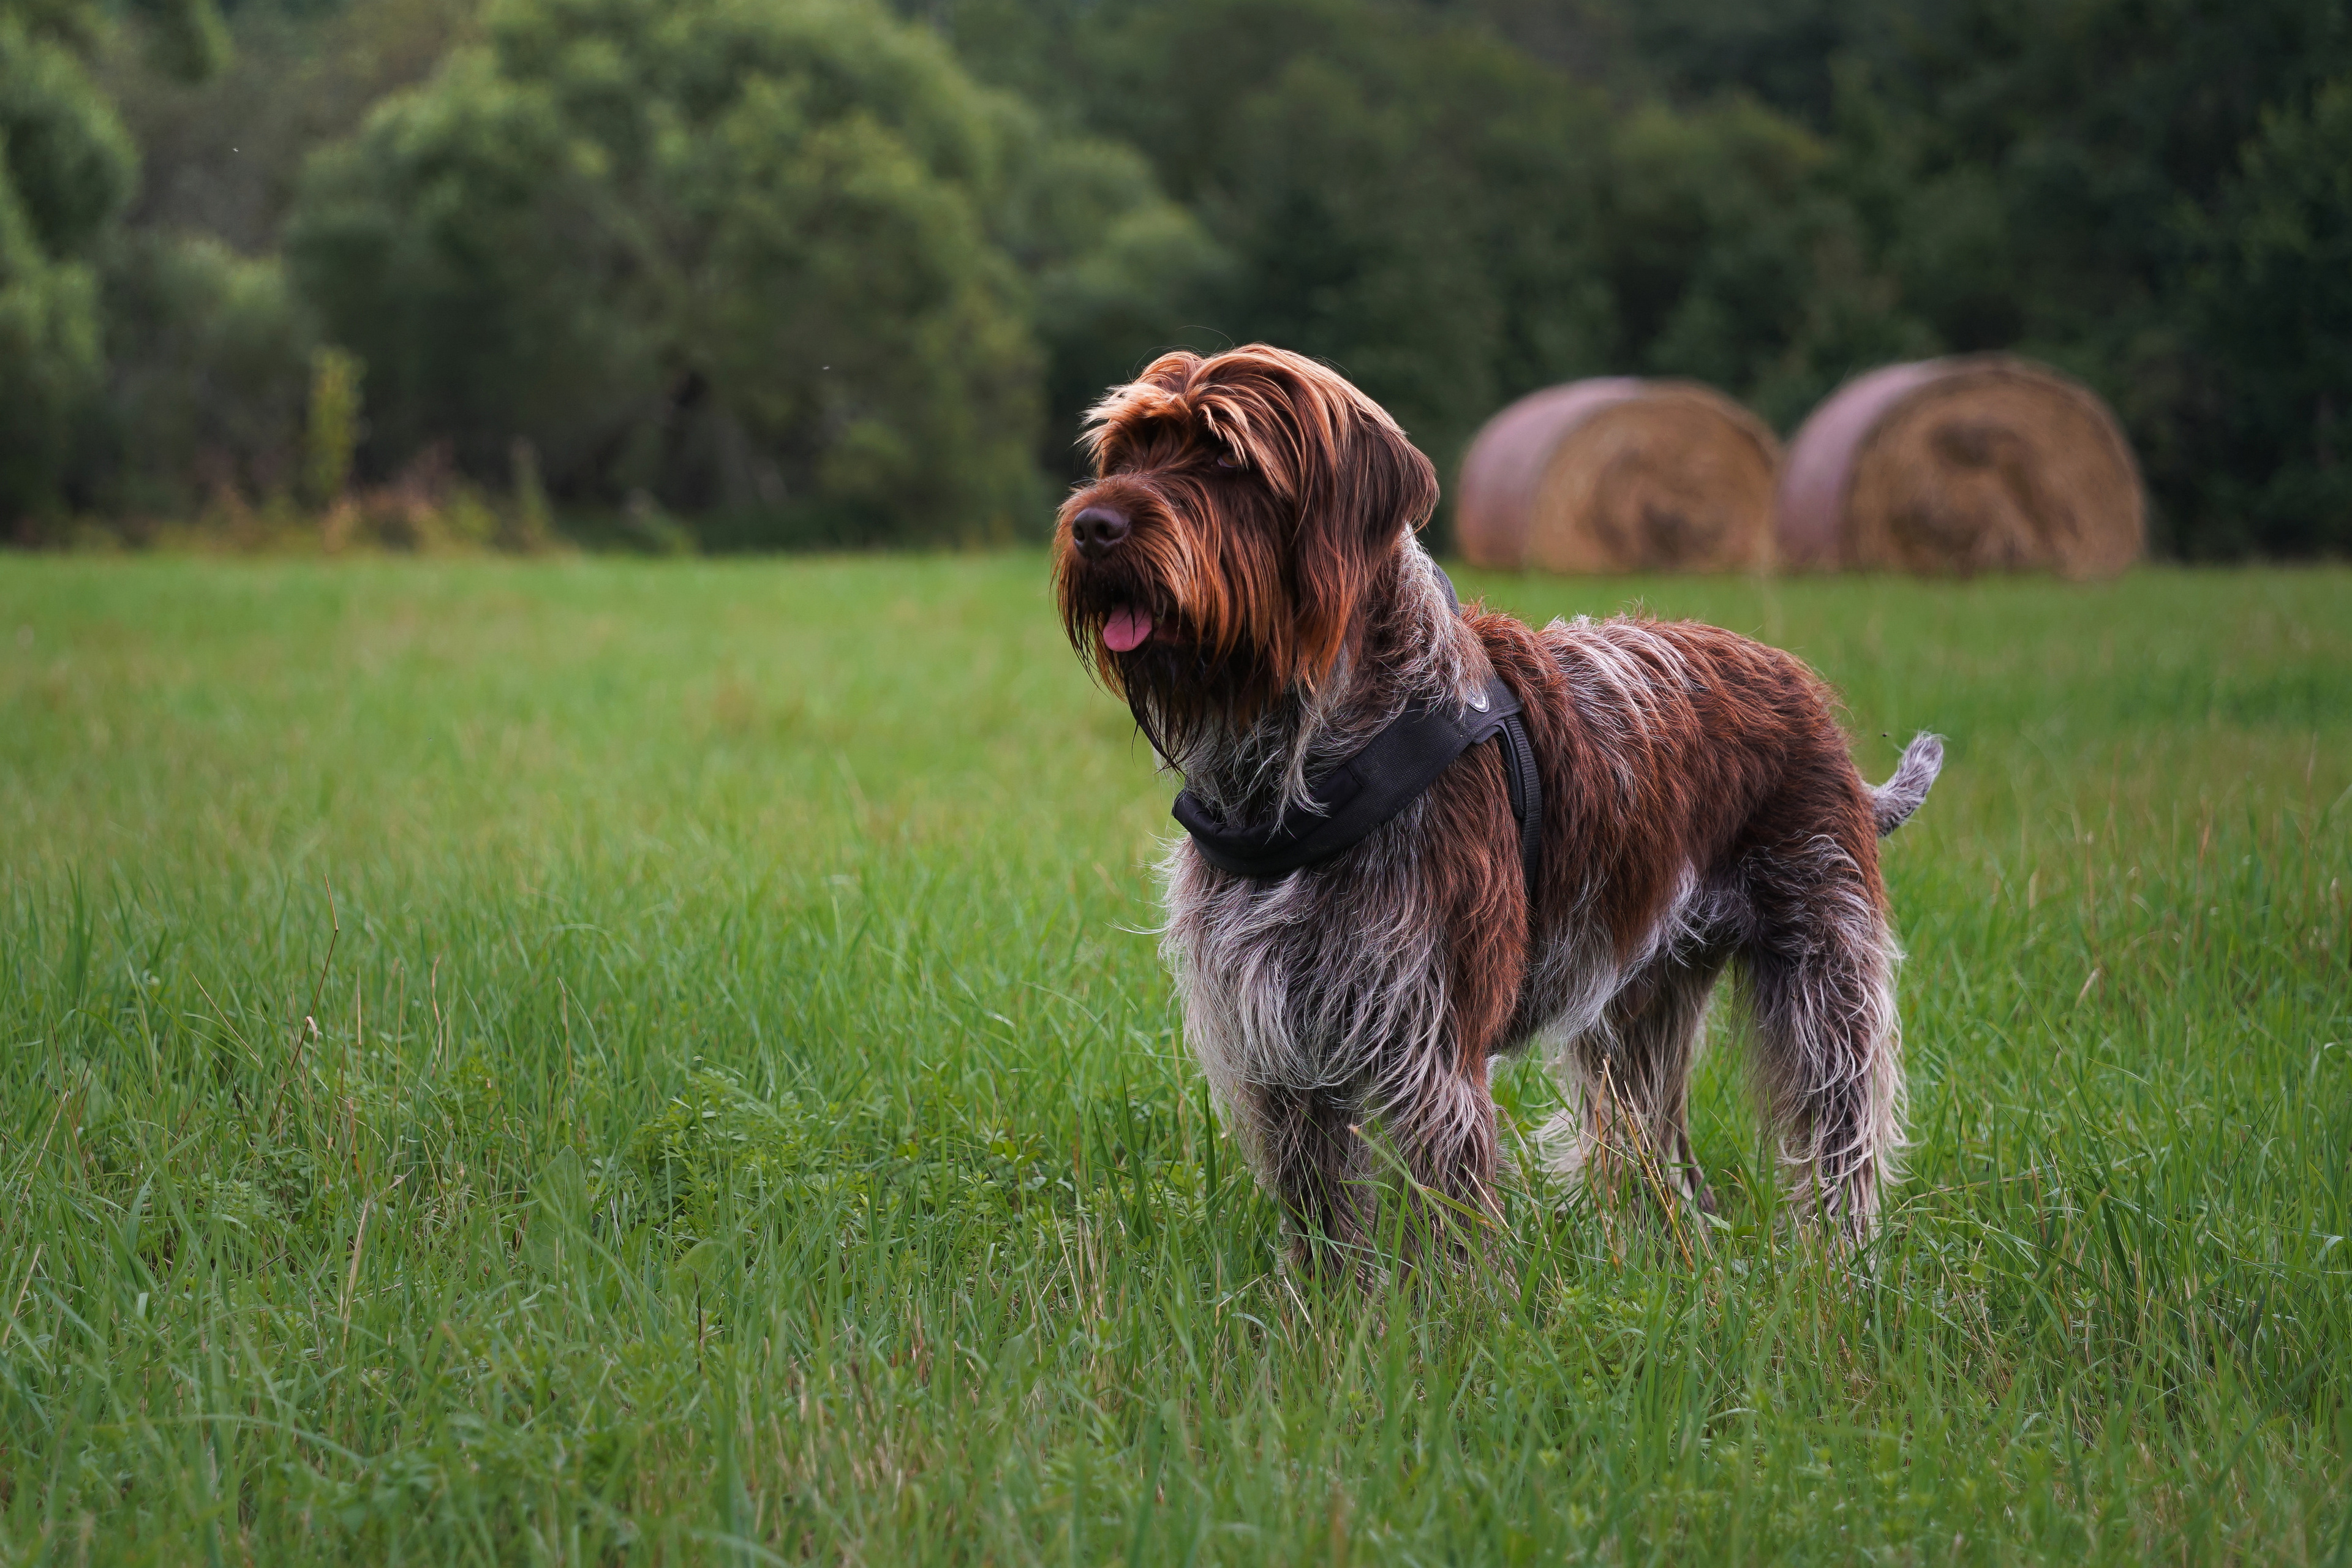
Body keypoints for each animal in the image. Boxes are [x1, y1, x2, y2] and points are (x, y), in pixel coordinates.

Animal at [1058, 345, 1938, 1278]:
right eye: (1125, 454)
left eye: (1226, 457)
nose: (1092, 526)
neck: (1295, 759)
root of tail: (1795, 681)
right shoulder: (1280, 1044)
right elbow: (1322, 1214)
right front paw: (1327, 1308)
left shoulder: (1429, 1045)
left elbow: (1449, 1214)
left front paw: (1454, 1312)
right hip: (1639, 1006)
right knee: (1657, 1159)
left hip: (1823, 972)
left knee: (1841, 1131)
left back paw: (1842, 1266)